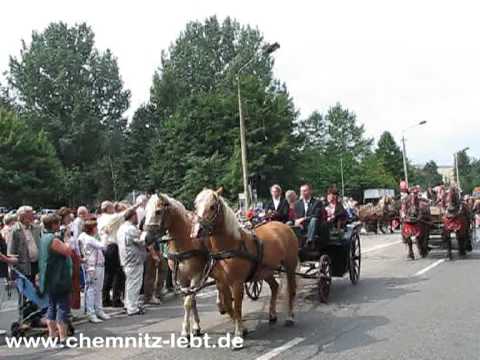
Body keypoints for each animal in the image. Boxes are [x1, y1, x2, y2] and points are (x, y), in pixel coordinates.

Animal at [141, 194, 234, 338]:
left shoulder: (196, 275)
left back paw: (222, 304)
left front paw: (187, 329)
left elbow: (189, 301)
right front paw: (195, 326)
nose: (144, 238)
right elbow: (191, 300)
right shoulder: (182, 278)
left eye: (158, 211)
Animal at [190, 188, 296, 340]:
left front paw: (239, 331)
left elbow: (237, 306)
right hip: (266, 270)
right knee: (275, 287)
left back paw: (290, 317)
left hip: (290, 266)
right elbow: (229, 305)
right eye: (196, 206)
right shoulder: (222, 282)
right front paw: (242, 328)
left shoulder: (237, 283)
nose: (196, 232)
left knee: (291, 289)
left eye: (212, 206)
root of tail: (283, 226)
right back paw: (272, 314)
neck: (229, 246)